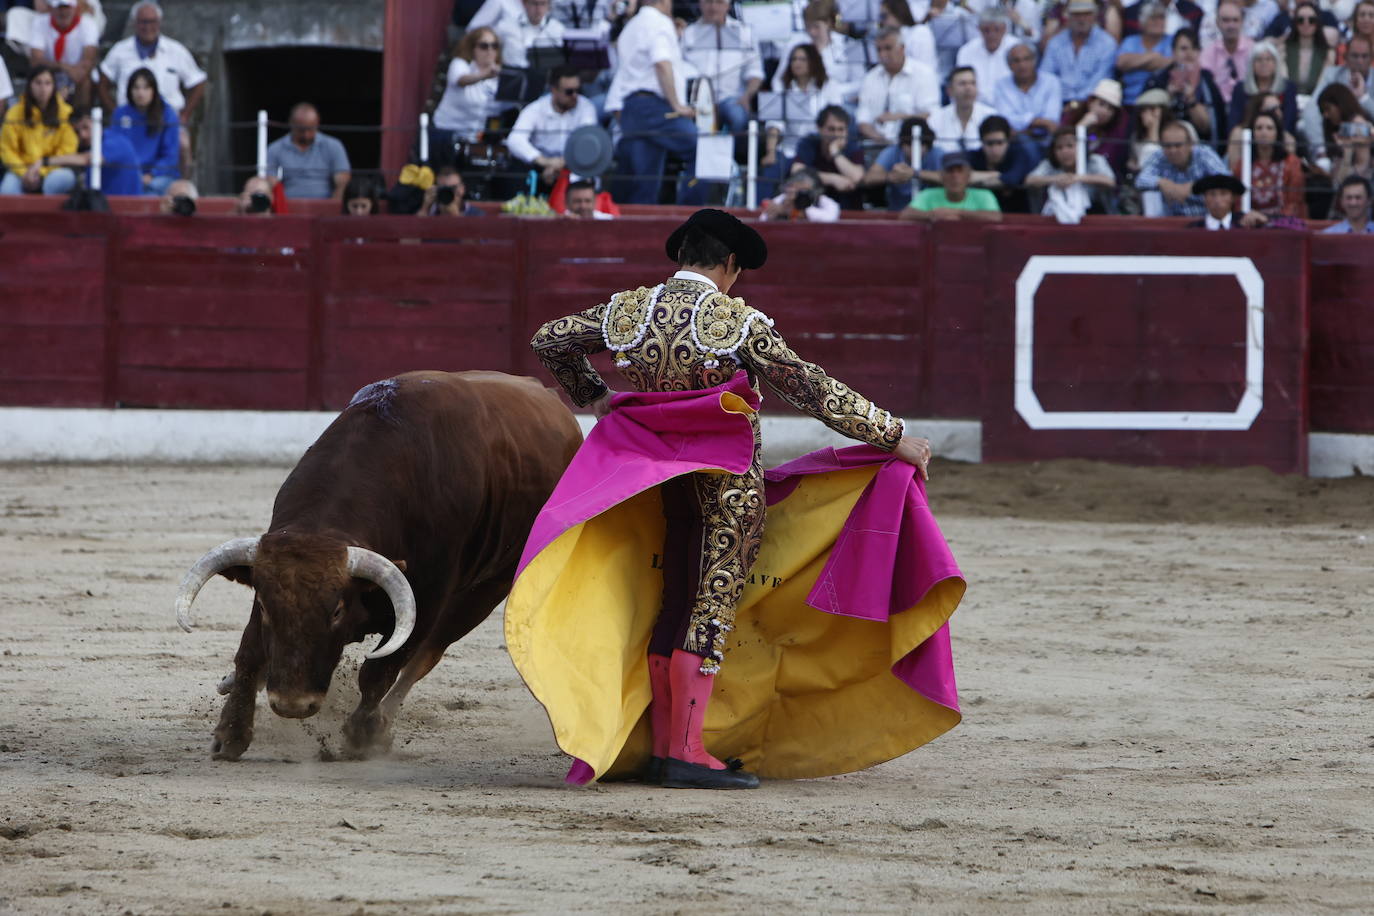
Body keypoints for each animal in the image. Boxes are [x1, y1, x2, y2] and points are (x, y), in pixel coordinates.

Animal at [173, 368, 579, 763]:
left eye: (337, 610)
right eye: (266, 606)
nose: (292, 705)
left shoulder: (425, 599)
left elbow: (382, 668)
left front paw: (359, 735)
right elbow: (250, 653)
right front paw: (231, 734)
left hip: (488, 589)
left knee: (426, 655)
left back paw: (380, 726)